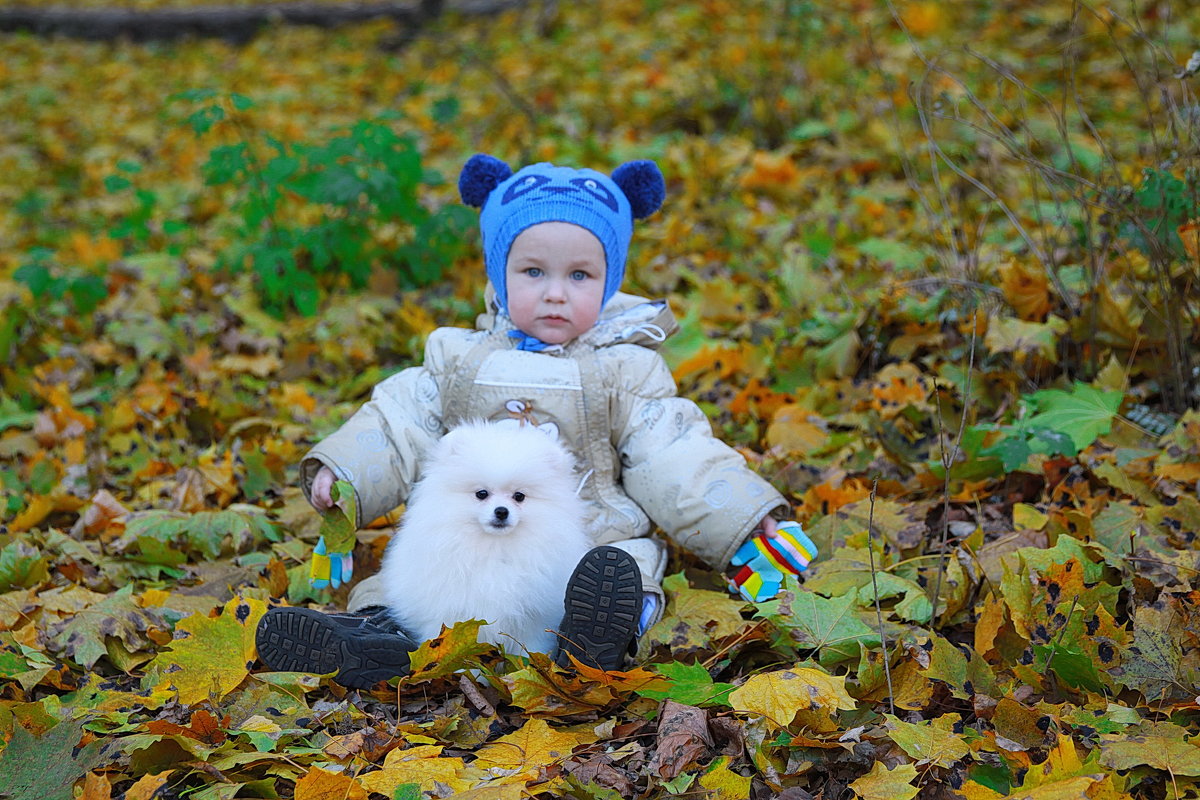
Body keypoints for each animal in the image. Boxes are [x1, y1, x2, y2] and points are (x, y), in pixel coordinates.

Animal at [379, 419, 590, 657]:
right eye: (481, 494)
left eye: (519, 496)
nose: (501, 511)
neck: (494, 547)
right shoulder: (451, 612)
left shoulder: (533, 619)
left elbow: (529, 648)